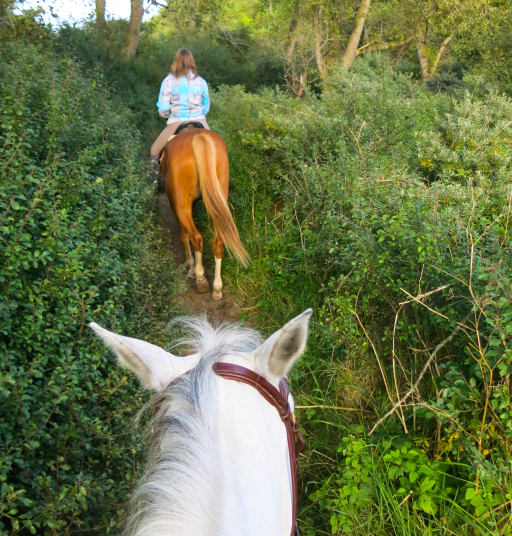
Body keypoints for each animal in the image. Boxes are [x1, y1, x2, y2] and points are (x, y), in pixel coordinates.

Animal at [160, 127, 248, 300]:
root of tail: (197, 136)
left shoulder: (176, 204)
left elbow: (184, 235)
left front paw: (191, 267)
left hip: (182, 206)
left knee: (196, 238)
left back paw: (200, 278)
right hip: (218, 200)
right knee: (218, 242)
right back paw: (217, 288)